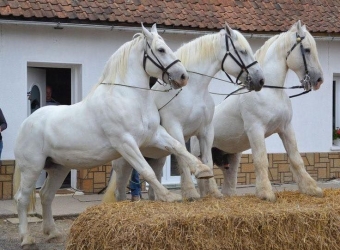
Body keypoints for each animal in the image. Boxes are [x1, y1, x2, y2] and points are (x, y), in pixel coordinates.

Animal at [13, 23, 215, 248]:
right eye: (161, 49)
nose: (183, 77)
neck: (129, 97)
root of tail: (26, 123)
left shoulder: (155, 135)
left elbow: (178, 147)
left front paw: (203, 170)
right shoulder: (125, 143)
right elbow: (146, 170)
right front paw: (168, 196)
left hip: (58, 168)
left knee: (46, 195)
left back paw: (52, 232)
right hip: (32, 168)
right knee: (22, 198)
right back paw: (26, 237)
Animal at [104, 23, 266, 203]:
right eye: (242, 51)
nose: (260, 80)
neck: (193, 90)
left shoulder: (206, 131)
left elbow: (207, 160)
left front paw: (214, 192)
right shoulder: (175, 129)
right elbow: (182, 159)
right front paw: (190, 192)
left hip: (157, 158)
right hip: (124, 160)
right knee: (120, 189)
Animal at [193, 20, 322, 202]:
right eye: (307, 49)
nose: (318, 80)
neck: (271, 91)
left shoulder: (286, 128)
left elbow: (296, 159)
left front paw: (311, 188)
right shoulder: (256, 129)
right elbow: (261, 160)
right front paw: (266, 193)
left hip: (232, 157)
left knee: (229, 179)